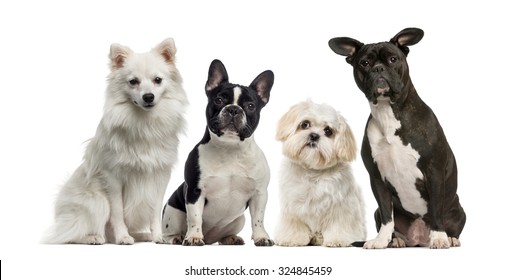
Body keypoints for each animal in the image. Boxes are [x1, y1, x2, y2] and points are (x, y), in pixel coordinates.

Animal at [43, 38, 186, 244]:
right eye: (133, 82)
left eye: (157, 80)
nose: (148, 96)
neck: (144, 123)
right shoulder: (113, 178)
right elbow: (117, 212)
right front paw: (123, 237)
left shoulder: (161, 176)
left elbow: (155, 210)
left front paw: (158, 236)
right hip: (97, 201)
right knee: (71, 235)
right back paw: (94, 238)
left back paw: (143, 235)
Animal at [274, 100, 366, 247]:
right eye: (305, 124)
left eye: (328, 131)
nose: (314, 136)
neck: (313, 171)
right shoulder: (292, 209)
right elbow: (295, 224)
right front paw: (292, 238)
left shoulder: (341, 208)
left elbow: (339, 224)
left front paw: (338, 239)